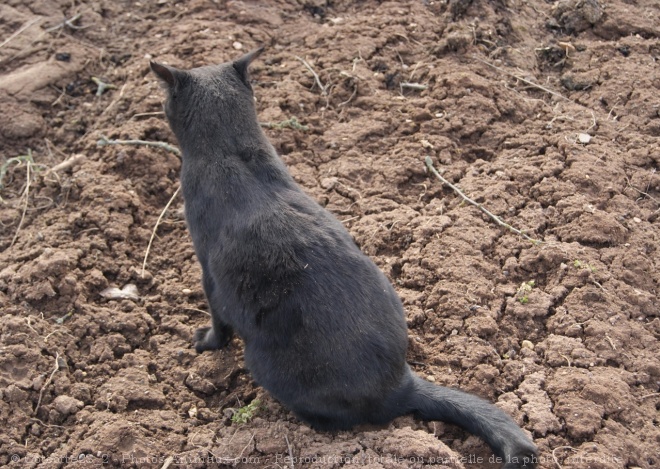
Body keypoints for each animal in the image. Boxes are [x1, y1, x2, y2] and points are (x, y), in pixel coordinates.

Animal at [152, 48, 540, 468]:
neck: (233, 151)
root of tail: (401, 386)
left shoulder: (207, 271)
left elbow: (218, 321)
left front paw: (206, 342)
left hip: (266, 363)